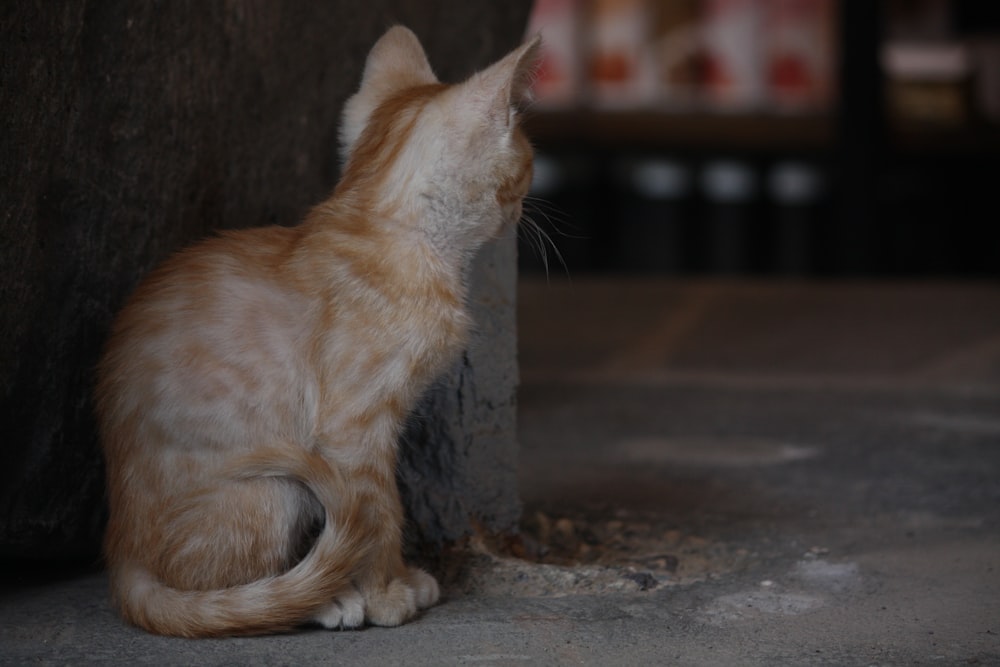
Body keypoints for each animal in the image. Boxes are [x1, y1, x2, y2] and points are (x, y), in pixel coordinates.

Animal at [95, 26, 540, 640]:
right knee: (228, 590)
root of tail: (121, 553)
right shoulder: (353, 430)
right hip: (271, 489)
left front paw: (397, 580)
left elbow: (383, 507)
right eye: (528, 163)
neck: (390, 228)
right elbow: (381, 510)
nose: (523, 208)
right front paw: (386, 593)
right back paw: (322, 598)